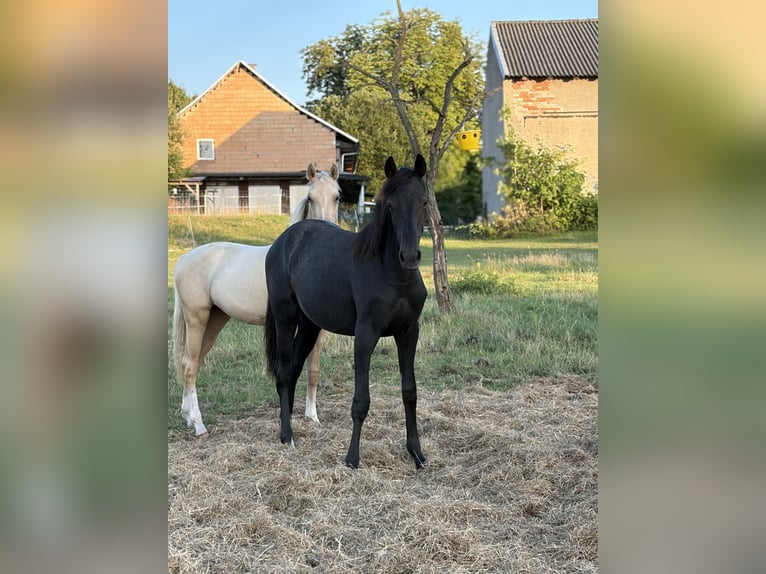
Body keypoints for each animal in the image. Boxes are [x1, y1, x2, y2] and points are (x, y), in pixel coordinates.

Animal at [172, 163, 340, 436]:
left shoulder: (316, 329)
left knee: (193, 363)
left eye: (337, 196)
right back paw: (198, 425)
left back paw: (188, 416)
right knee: (189, 365)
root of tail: (184, 259)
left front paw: (312, 417)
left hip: (215, 319)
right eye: (310, 198)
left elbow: (313, 370)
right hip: (197, 319)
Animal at [264, 154, 428, 469]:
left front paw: (416, 453)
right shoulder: (365, 335)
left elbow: (410, 392)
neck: (393, 276)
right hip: (284, 319)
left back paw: (284, 429)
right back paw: (288, 436)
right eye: (390, 206)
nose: (409, 257)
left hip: (309, 325)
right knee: (283, 373)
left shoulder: (409, 333)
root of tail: (283, 241)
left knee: (293, 371)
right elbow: (361, 401)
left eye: (424, 202)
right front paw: (352, 459)